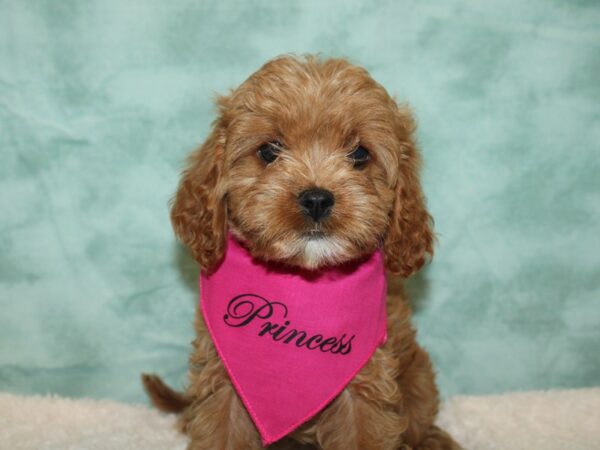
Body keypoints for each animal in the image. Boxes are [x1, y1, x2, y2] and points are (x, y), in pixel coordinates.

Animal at [144, 54, 460, 448]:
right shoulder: (222, 383)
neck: (304, 279)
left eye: (359, 154)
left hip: (418, 376)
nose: (316, 199)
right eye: (269, 151)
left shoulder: (367, 386)